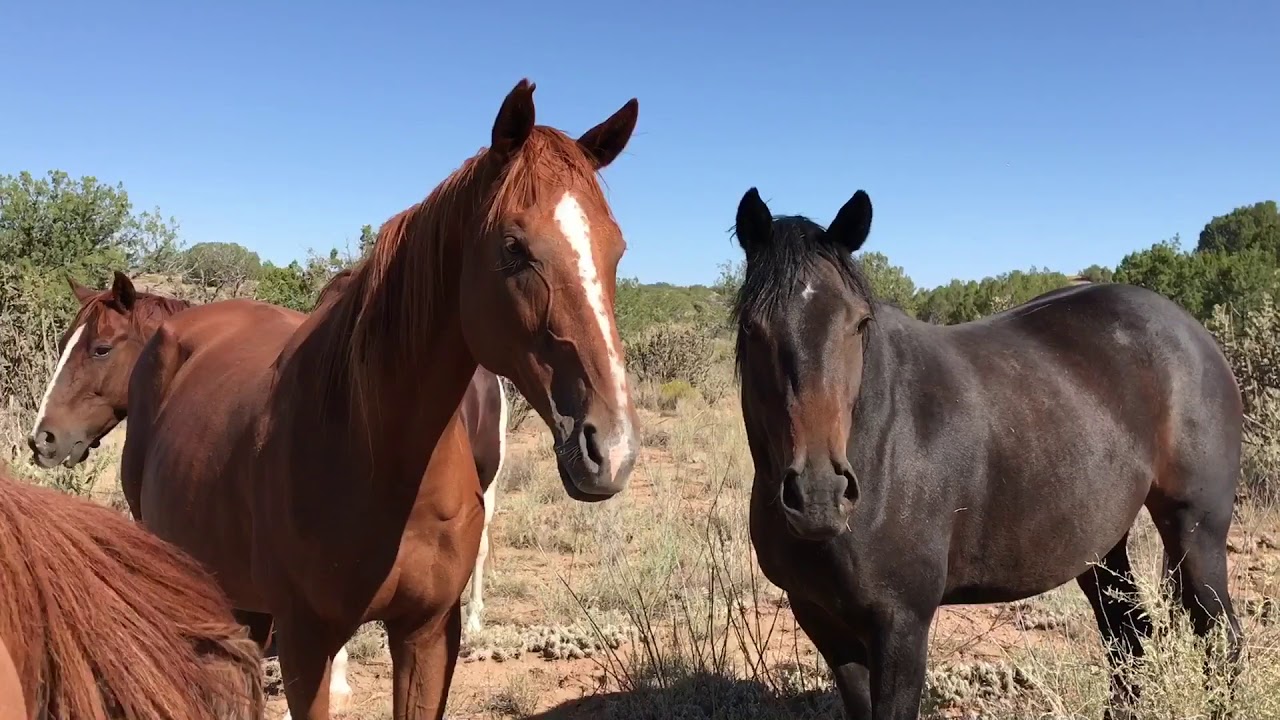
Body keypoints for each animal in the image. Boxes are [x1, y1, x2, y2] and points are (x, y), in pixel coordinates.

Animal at [116, 79, 640, 720]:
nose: (610, 450)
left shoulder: (428, 632)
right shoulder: (307, 641)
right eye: (514, 247)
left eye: (616, 250)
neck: (380, 459)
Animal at [730, 187, 1244, 720]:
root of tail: (1194, 333)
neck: (880, 442)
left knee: (1218, 637)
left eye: (859, 323)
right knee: (1129, 635)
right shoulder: (823, 621)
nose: (819, 495)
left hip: (1195, 529)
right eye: (751, 327)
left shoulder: (901, 625)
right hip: (1100, 545)